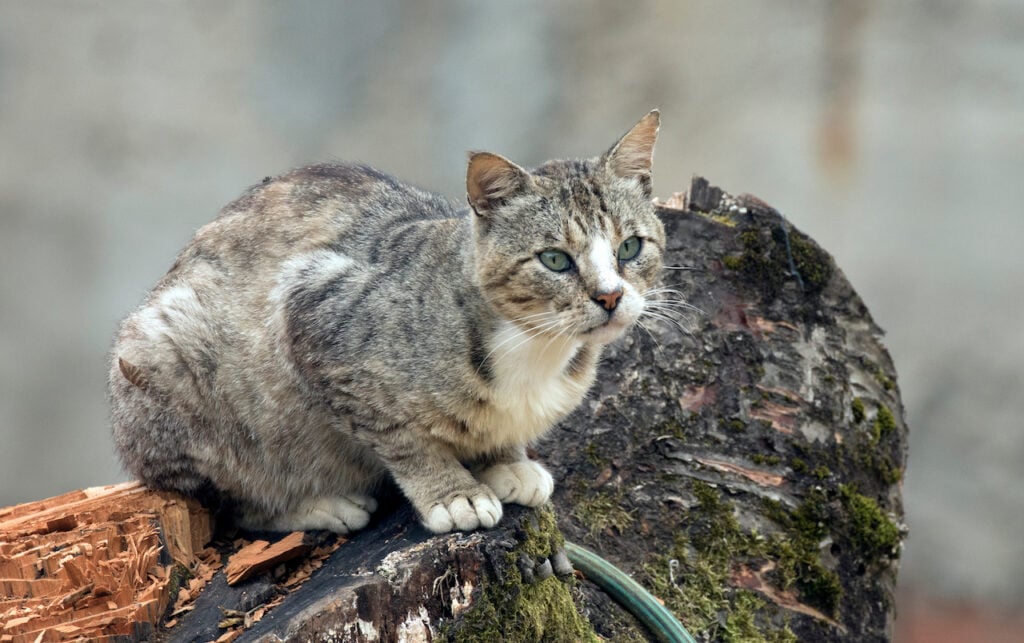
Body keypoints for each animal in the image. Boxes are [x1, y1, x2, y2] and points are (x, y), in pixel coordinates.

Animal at [110, 109, 663, 532]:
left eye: (630, 247)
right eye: (554, 260)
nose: (611, 296)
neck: (535, 350)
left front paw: (507, 463)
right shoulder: (312, 309)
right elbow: (402, 436)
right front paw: (453, 494)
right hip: (166, 361)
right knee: (227, 503)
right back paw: (318, 505)